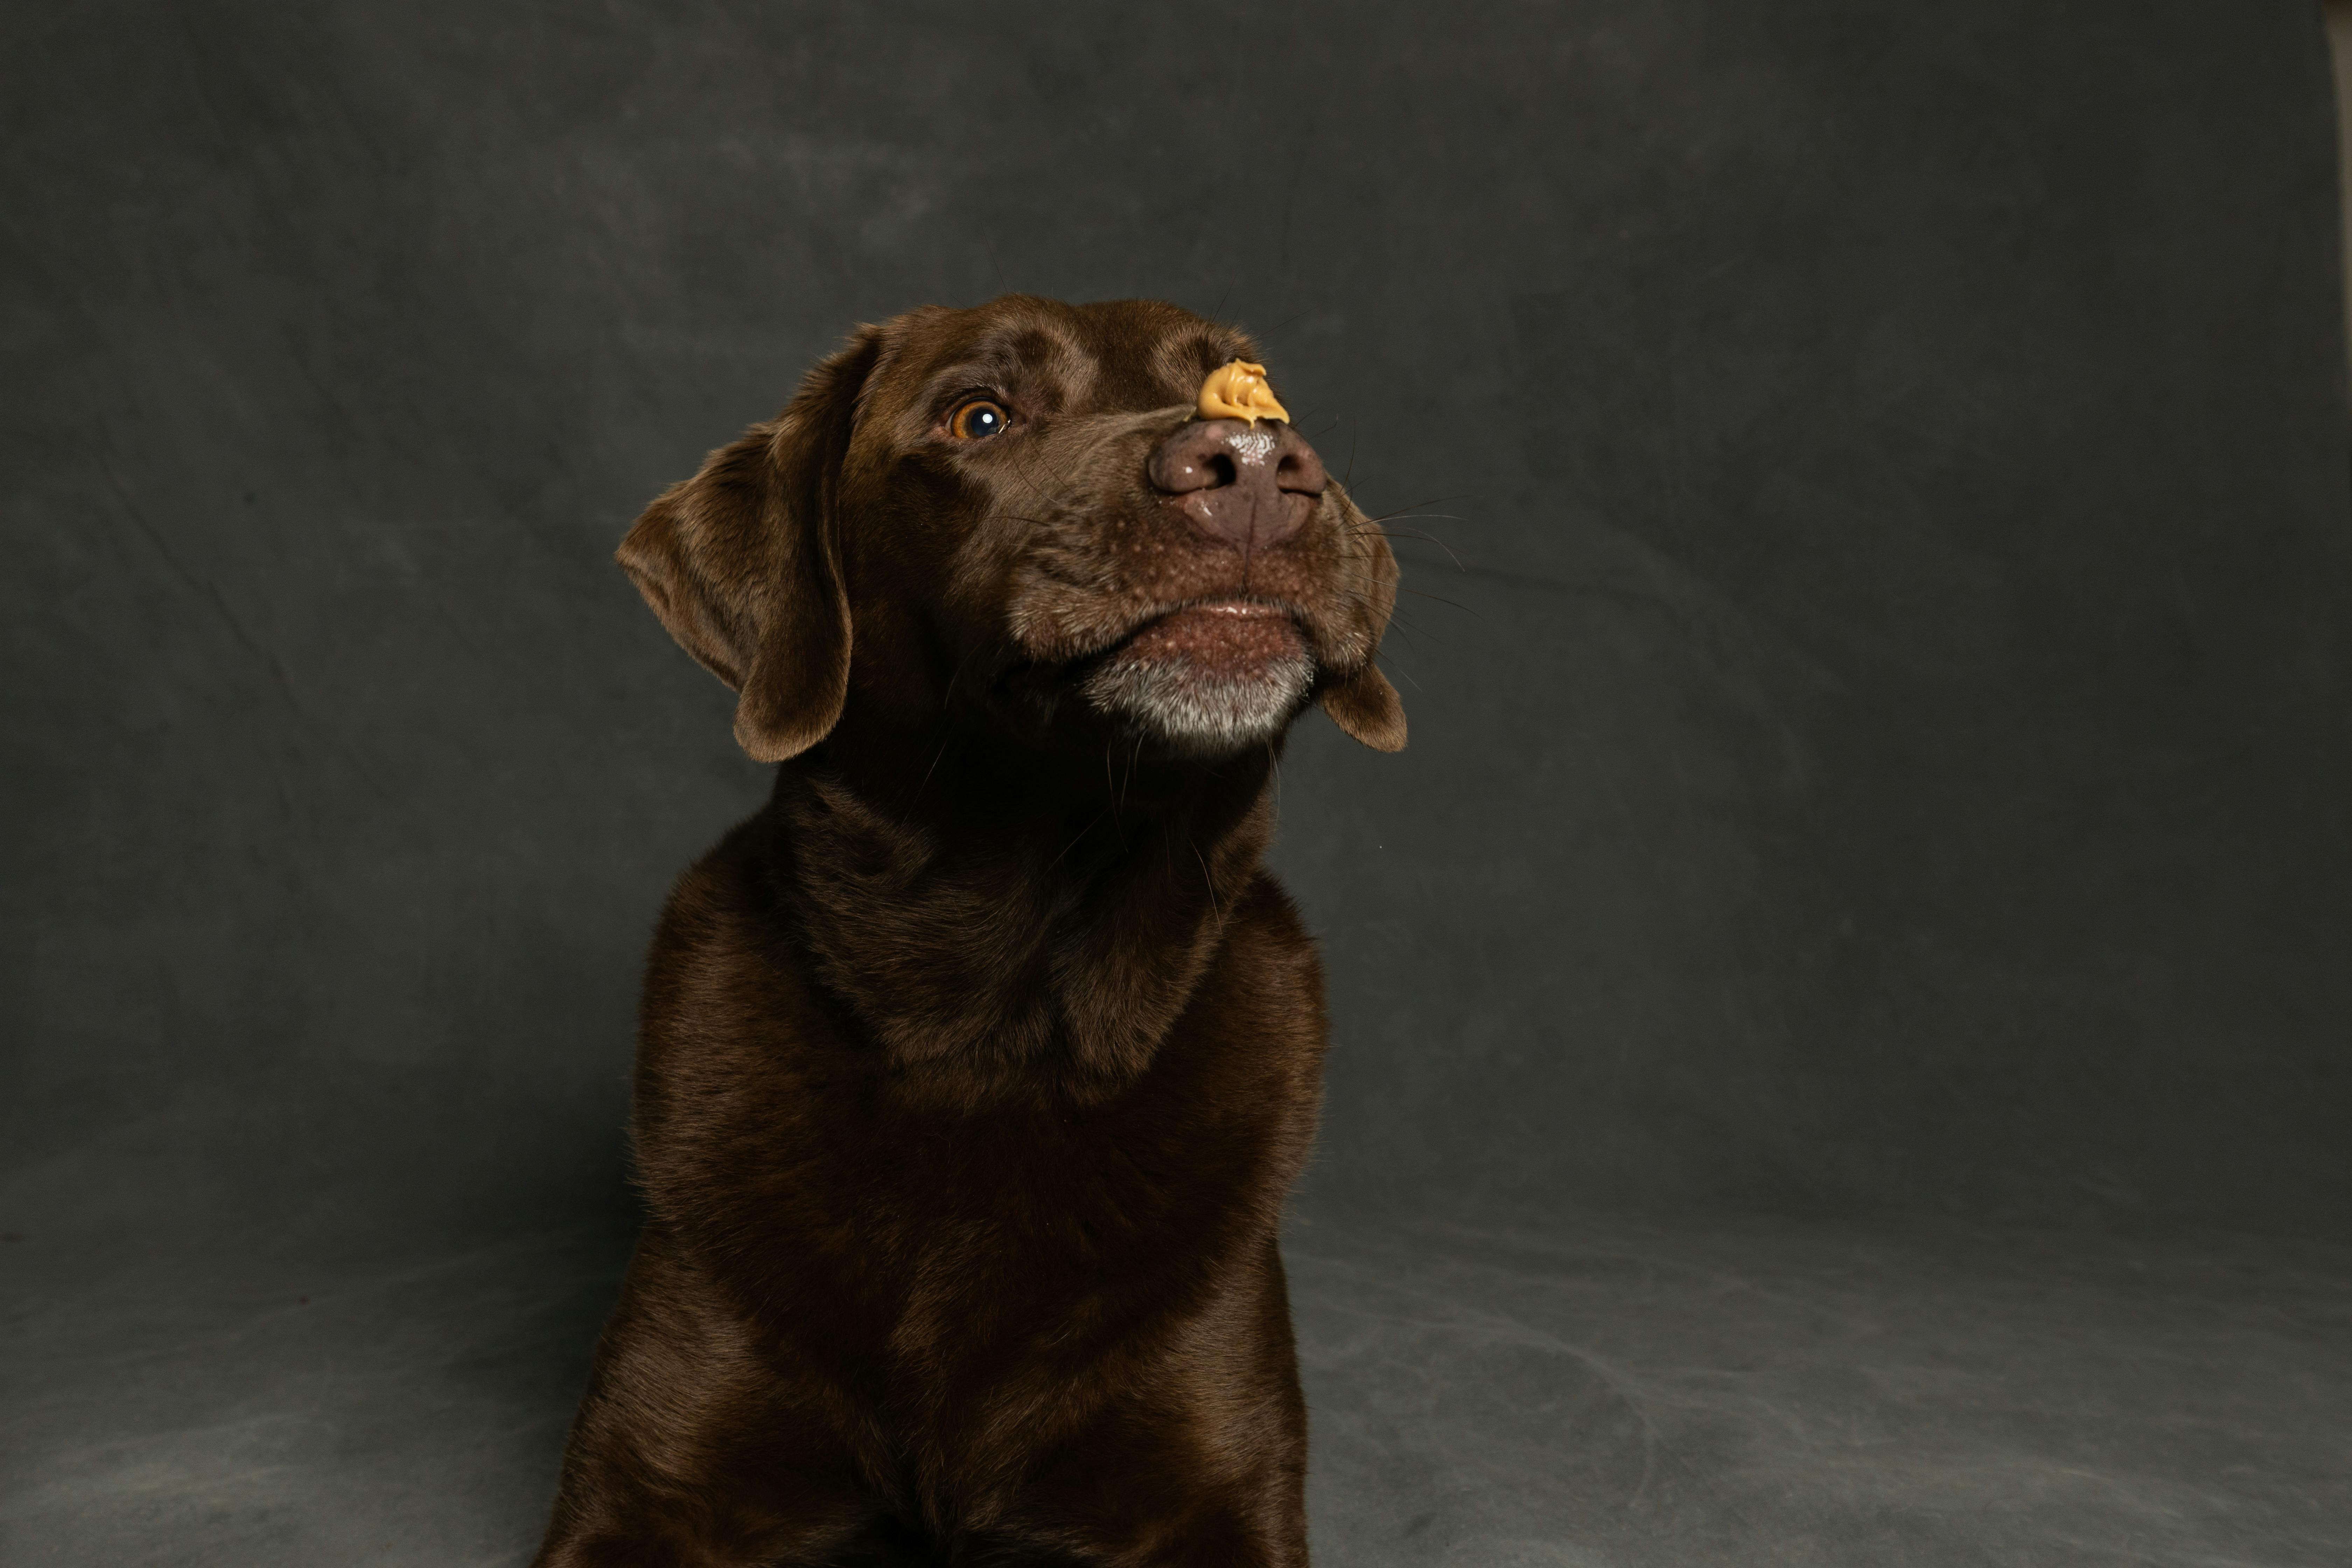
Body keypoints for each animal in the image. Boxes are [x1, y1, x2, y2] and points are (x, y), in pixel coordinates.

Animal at [536, 297, 1402, 1568]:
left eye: (1259, 399)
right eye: (978, 417)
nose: (1251, 469)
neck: (992, 1022)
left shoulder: (1215, 1485)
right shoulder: (650, 1486)